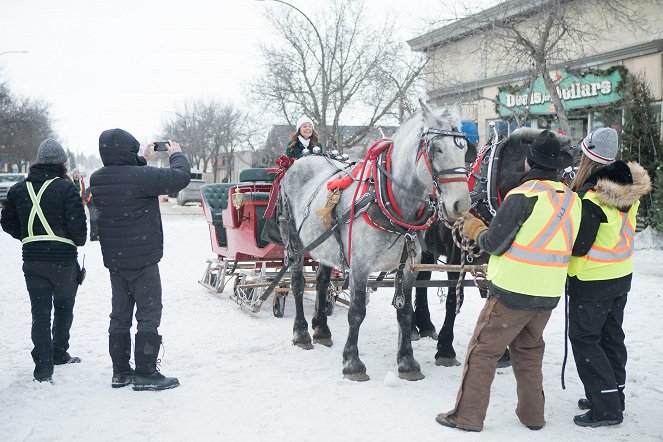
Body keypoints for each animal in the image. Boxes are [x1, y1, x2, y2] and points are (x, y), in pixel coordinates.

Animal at [276, 102, 472, 380]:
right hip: (293, 240)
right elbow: (357, 311)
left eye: (464, 148)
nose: (461, 205)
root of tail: (301, 160)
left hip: (325, 244)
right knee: (298, 283)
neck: (387, 196)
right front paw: (352, 363)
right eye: (436, 148)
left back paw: (322, 329)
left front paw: (407, 362)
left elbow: (405, 312)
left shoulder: (408, 266)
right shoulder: (360, 265)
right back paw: (302, 332)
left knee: (323, 281)